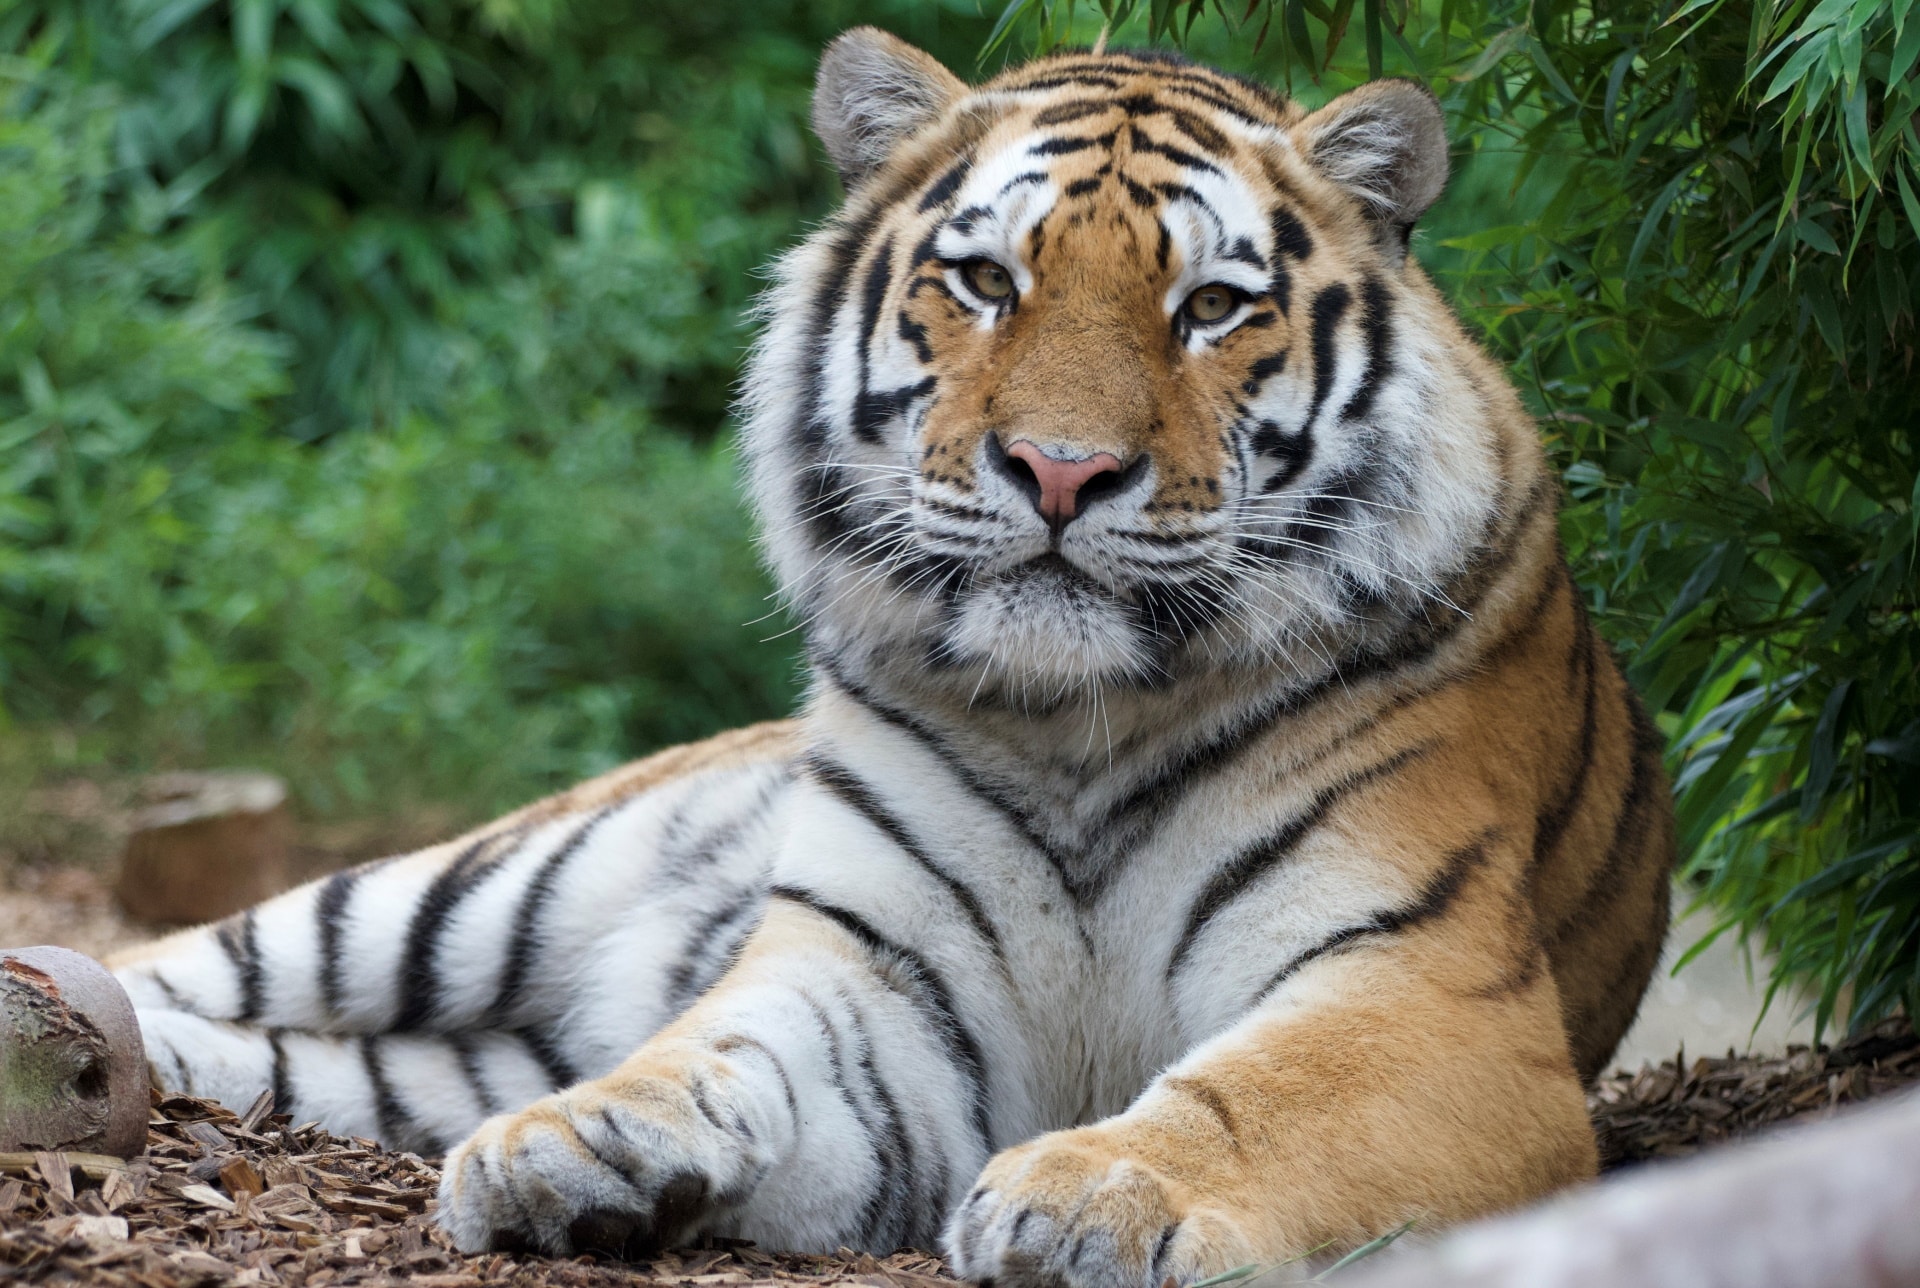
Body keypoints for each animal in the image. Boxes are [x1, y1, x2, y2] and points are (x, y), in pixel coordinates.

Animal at [105, 30, 1674, 1288]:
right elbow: (720, 1045)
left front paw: (1098, 1193)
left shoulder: (1428, 990)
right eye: (983, 280)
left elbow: (1264, 1094)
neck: (1081, 721)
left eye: (1213, 308)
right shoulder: (873, 968)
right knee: (175, 957)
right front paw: (582, 1139)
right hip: (466, 887)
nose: (1060, 469)